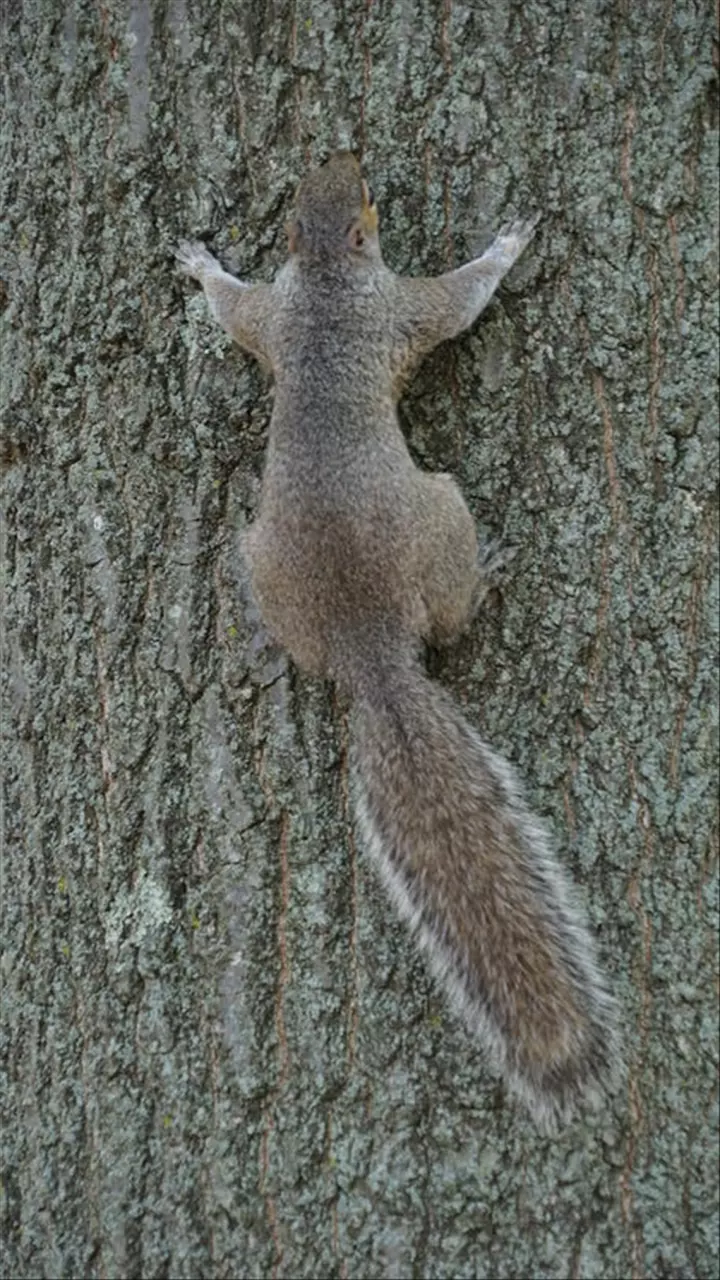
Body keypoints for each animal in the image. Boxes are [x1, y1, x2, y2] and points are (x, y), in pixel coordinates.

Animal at [175, 152, 617, 1131]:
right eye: (368, 199)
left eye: (326, 181)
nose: (347, 152)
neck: (326, 282)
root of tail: (367, 652)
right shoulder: (402, 309)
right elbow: (460, 300)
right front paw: (507, 242)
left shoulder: (275, 314)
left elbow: (235, 311)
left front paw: (201, 266)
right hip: (443, 512)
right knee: (451, 610)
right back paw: (491, 575)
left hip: (266, 569)